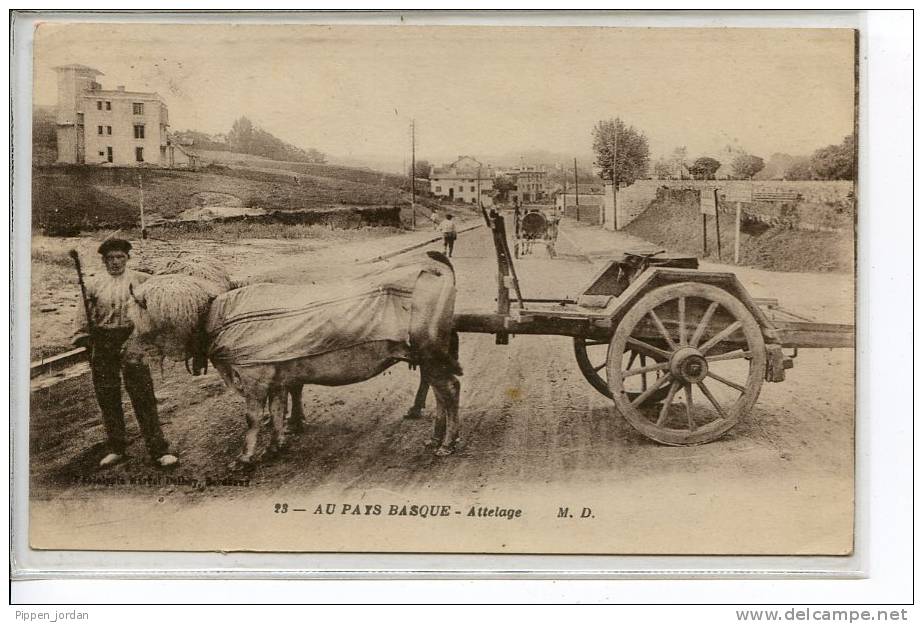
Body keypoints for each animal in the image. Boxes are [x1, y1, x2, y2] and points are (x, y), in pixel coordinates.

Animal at [124, 250, 462, 464]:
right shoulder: (276, 375)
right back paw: (436, 438)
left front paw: (245, 457)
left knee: (449, 391)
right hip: (431, 356)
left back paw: (447, 444)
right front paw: (276, 445)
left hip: (430, 353)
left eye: (141, 315)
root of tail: (435, 268)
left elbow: (253, 417)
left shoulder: (254, 376)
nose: (126, 352)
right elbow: (276, 411)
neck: (219, 315)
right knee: (441, 393)